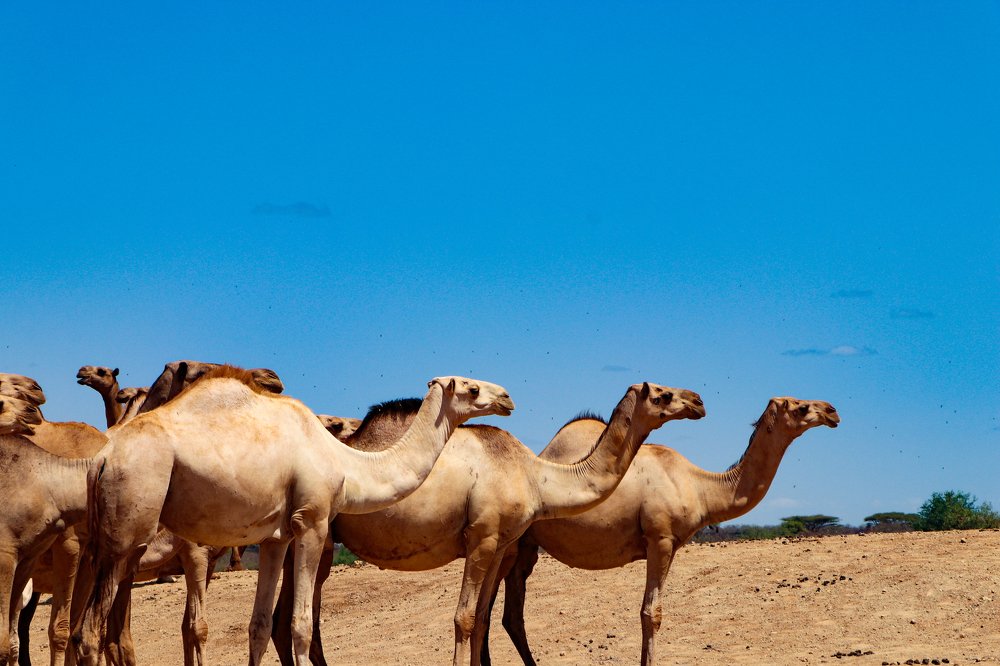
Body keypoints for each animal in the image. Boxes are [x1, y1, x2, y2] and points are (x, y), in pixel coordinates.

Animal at [74, 367, 514, 666]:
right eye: (472, 387)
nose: (508, 397)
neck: (346, 461)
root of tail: (102, 458)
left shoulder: (276, 537)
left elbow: (259, 625)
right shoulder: (312, 522)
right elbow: (300, 625)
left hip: (99, 540)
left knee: (82, 628)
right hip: (127, 529)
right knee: (92, 632)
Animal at [273, 382, 705, 666]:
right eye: (662, 394)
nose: (698, 400)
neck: (534, 475)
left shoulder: (502, 543)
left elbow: (480, 620)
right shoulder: (481, 536)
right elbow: (463, 619)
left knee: (284, 621)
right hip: (316, 533)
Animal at [486, 396, 840, 665]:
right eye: (801, 407)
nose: (832, 411)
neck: (700, 487)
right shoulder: (661, 539)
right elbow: (651, 613)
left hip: (525, 548)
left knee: (508, 615)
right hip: (509, 543)